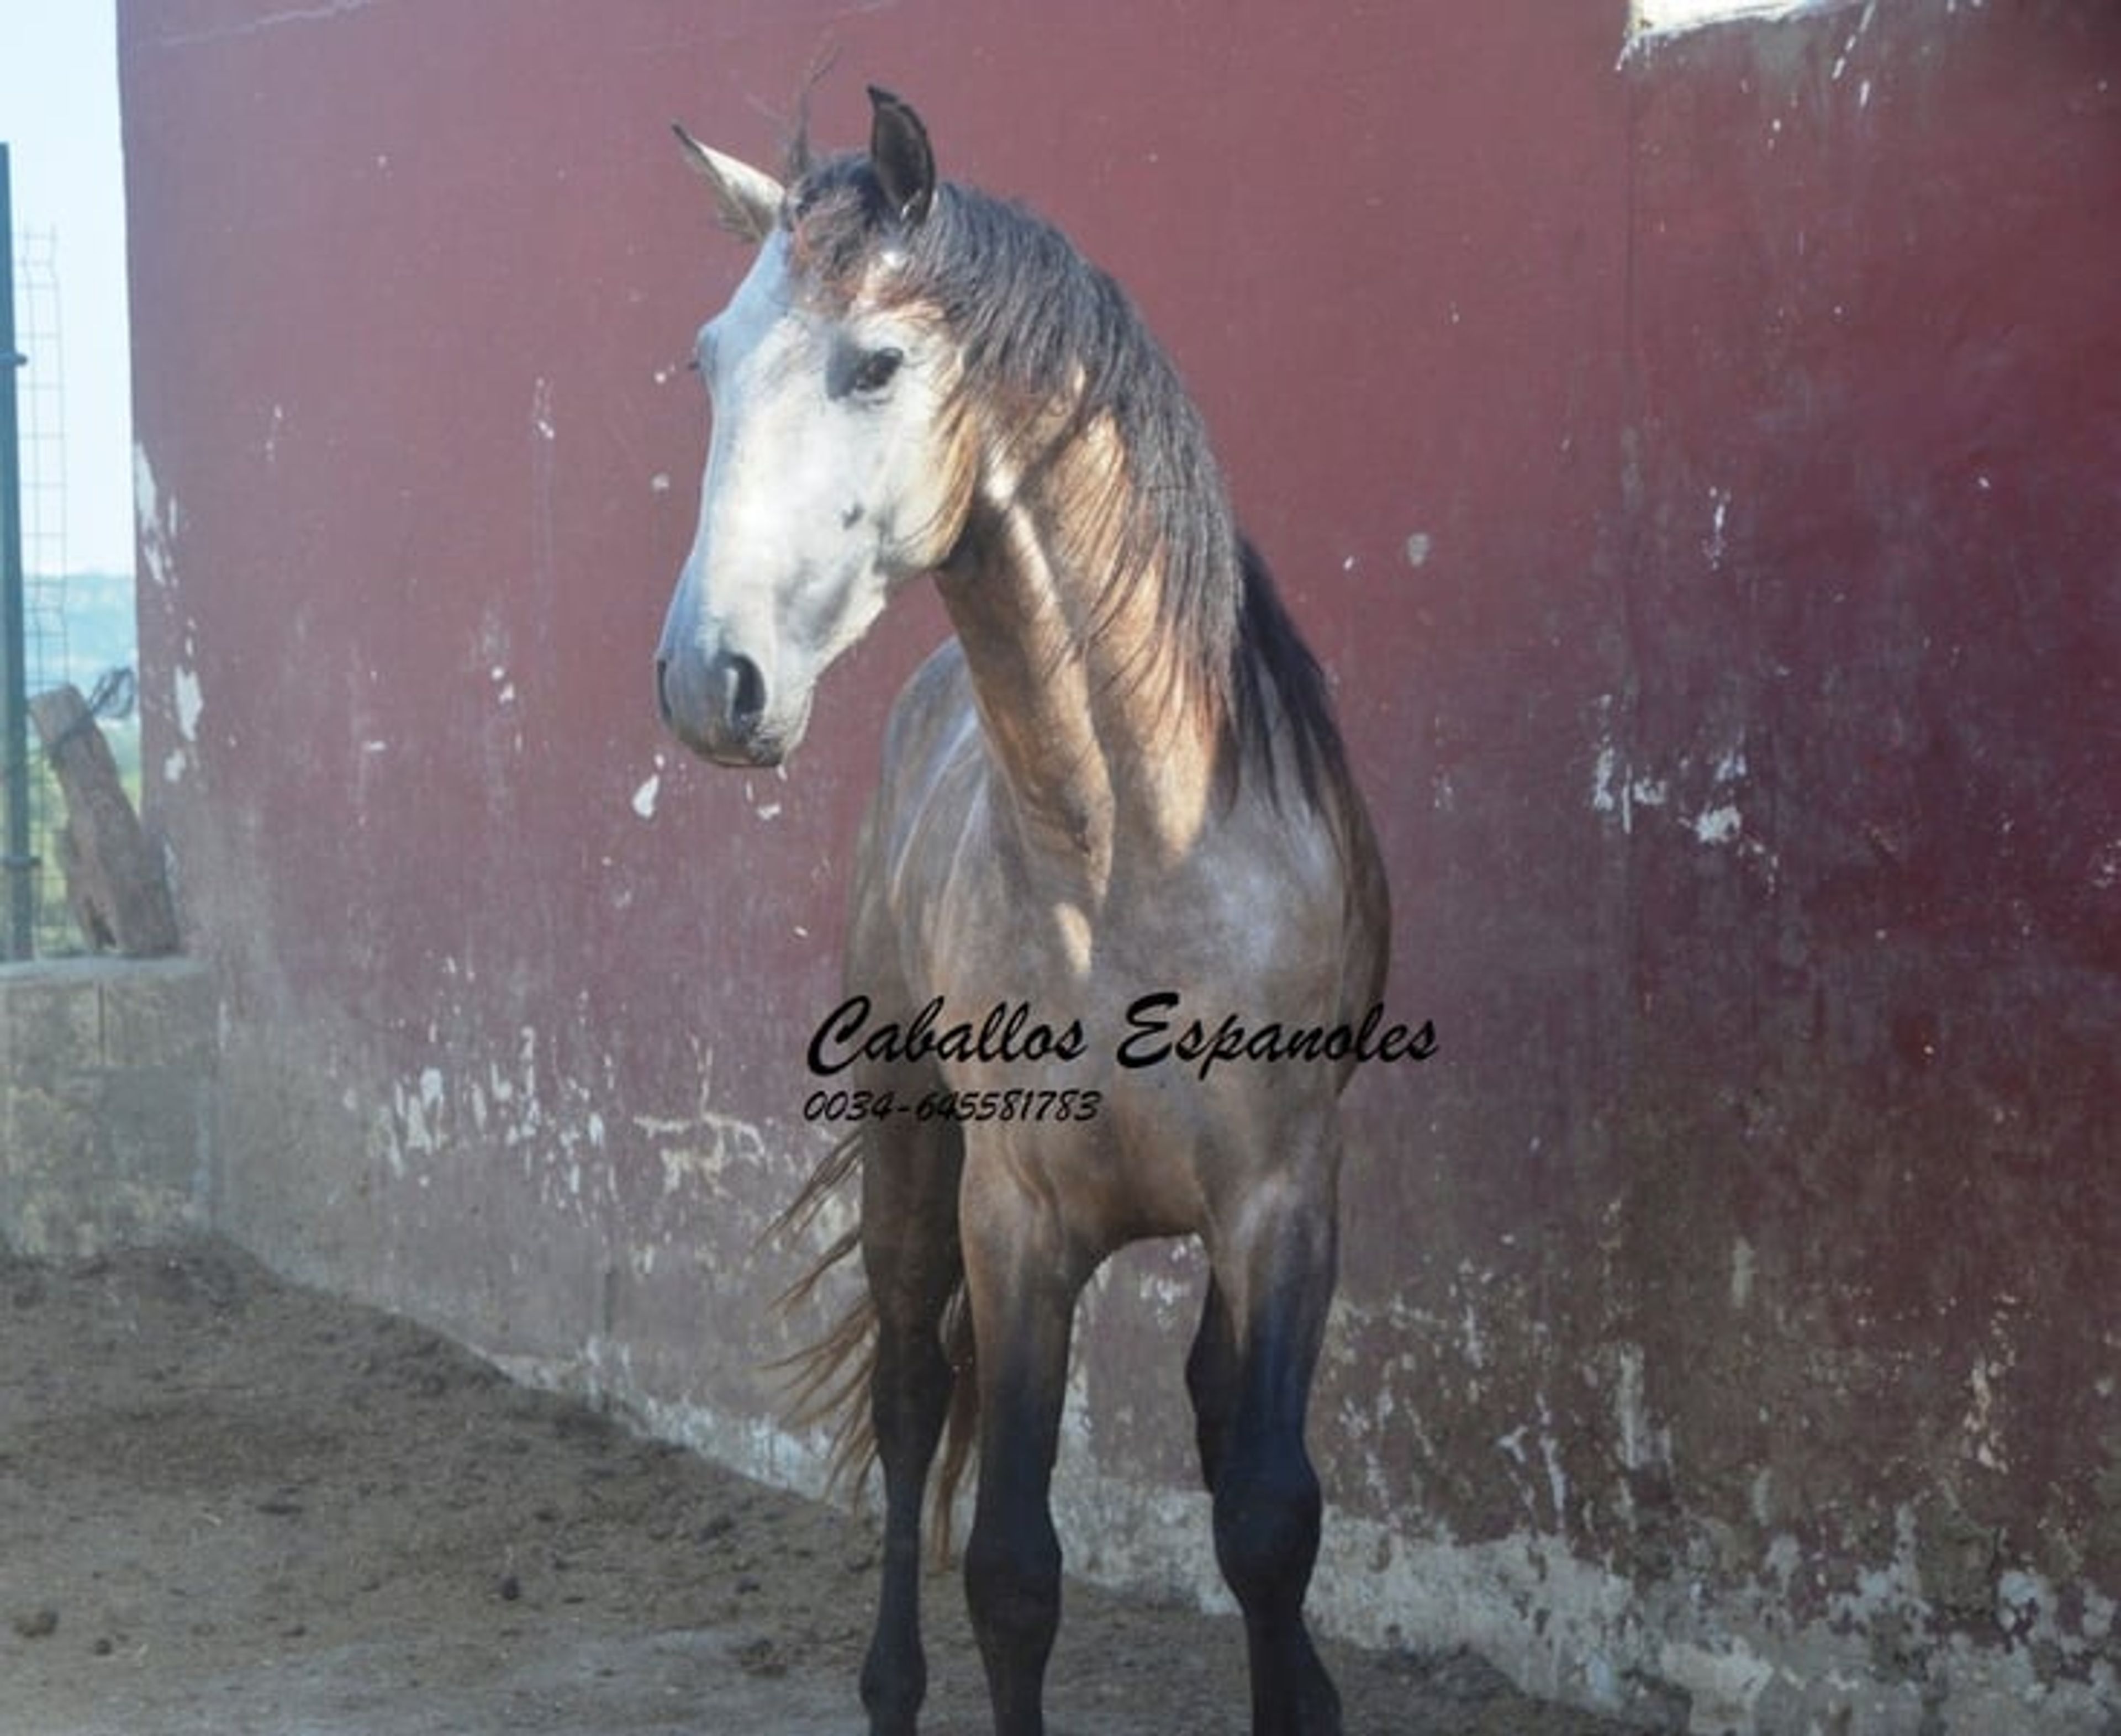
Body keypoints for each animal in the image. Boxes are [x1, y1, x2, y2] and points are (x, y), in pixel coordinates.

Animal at [654, 87, 1390, 1736]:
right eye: (707, 363)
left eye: (874, 361)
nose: (707, 680)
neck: (1128, 852)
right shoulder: (1019, 1222)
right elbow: (1010, 1567)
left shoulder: (1284, 1202)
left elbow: (1268, 1515)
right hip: (907, 1152)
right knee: (912, 1397)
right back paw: (887, 1688)